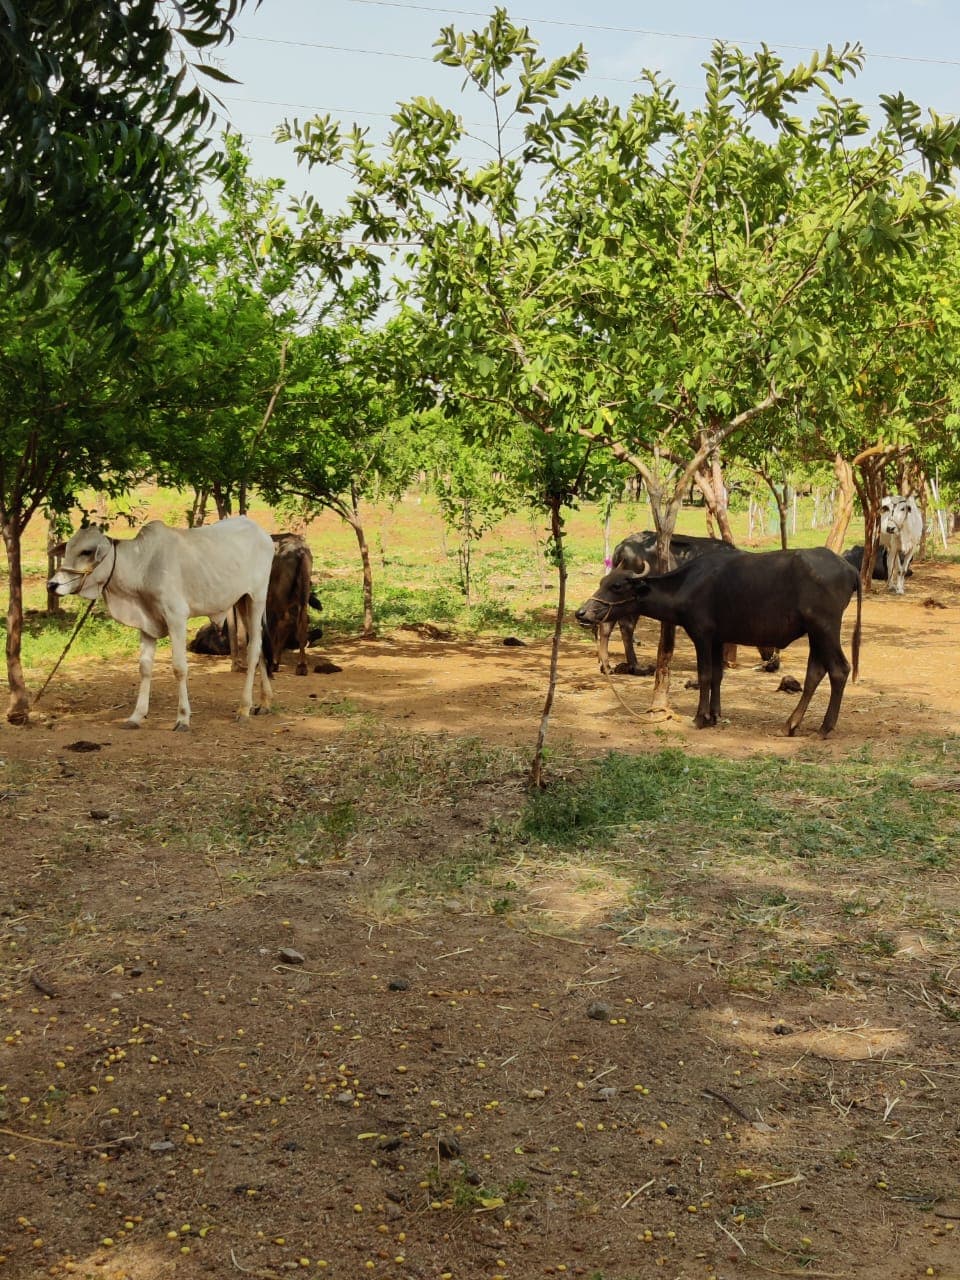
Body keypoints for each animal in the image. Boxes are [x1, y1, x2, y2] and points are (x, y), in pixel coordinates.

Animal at [47, 517, 274, 730]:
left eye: (86, 551)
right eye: (67, 549)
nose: (52, 585)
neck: (143, 565)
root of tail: (263, 534)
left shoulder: (177, 618)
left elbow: (179, 668)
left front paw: (183, 718)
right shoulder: (146, 625)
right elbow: (144, 668)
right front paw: (136, 716)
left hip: (256, 598)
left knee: (253, 650)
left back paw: (244, 709)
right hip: (241, 601)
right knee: (259, 645)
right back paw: (265, 702)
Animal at [575, 546, 861, 736]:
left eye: (617, 586)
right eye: (602, 581)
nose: (582, 612)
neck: (688, 585)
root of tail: (849, 568)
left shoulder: (701, 634)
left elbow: (704, 675)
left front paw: (700, 717)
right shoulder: (717, 639)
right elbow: (717, 675)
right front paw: (714, 715)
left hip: (825, 628)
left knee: (839, 669)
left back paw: (825, 727)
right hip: (815, 633)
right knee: (816, 672)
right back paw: (790, 724)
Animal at [592, 530, 778, 675]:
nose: (775, 665)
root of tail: (621, 548)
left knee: (606, 624)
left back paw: (606, 665)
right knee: (626, 626)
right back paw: (636, 666)